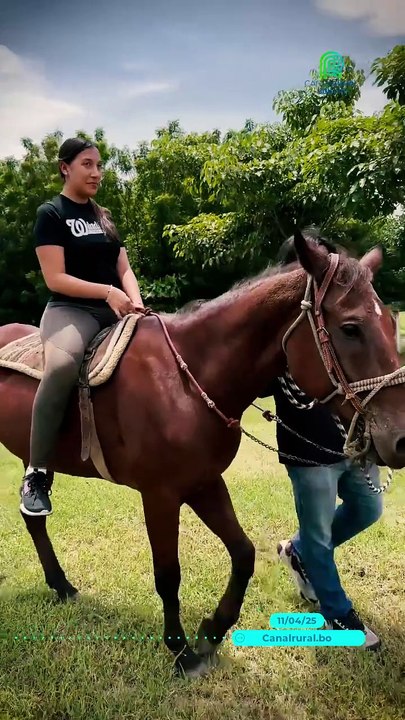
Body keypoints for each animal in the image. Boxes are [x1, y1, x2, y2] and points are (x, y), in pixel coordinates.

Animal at [1, 230, 405, 679]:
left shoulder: (204, 482)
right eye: (351, 328)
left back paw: (61, 585)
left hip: (37, 459)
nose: (400, 438)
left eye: (391, 323)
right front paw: (182, 652)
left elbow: (244, 554)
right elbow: (168, 575)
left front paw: (211, 631)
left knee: (33, 518)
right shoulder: (160, 495)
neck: (186, 380)